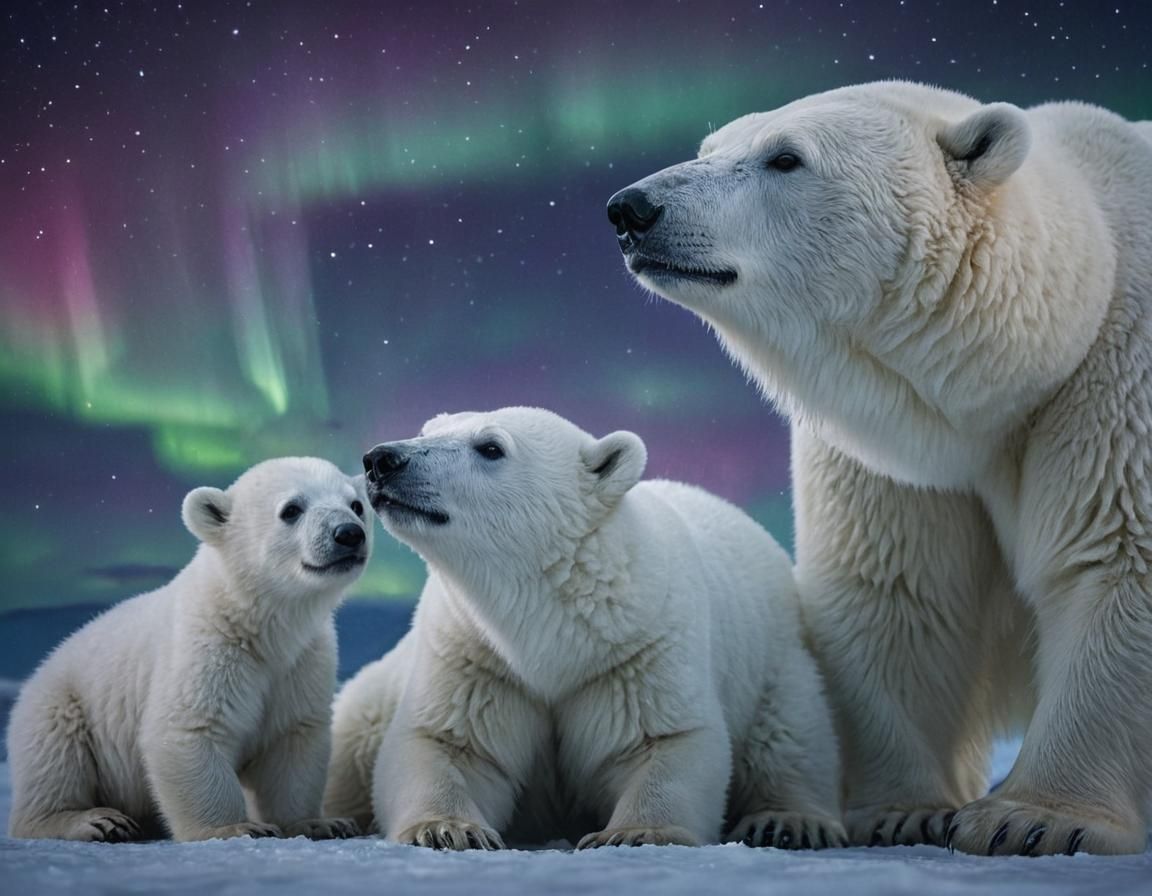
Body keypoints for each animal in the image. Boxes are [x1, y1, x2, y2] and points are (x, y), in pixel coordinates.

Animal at [7, 457, 372, 842]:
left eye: (356, 505)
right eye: (291, 509)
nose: (349, 533)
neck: (257, 620)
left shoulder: (302, 661)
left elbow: (292, 740)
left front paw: (321, 823)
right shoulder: (206, 649)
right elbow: (189, 729)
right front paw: (235, 827)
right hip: (62, 708)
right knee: (55, 760)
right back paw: (95, 821)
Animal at [323, 406, 844, 850]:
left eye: (490, 447)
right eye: (428, 429)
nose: (382, 459)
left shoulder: (640, 647)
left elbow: (665, 739)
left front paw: (635, 832)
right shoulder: (474, 651)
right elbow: (446, 741)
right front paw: (448, 829)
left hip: (777, 659)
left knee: (790, 735)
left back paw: (788, 821)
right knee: (355, 728)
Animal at [606, 81, 1152, 856]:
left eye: (785, 157)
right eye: (710, 147)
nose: (631, 208)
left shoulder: (1114, 378)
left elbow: (1119, 560)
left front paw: (1034, 820)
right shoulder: (897, 454)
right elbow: (896, 589)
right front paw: (906, 811)